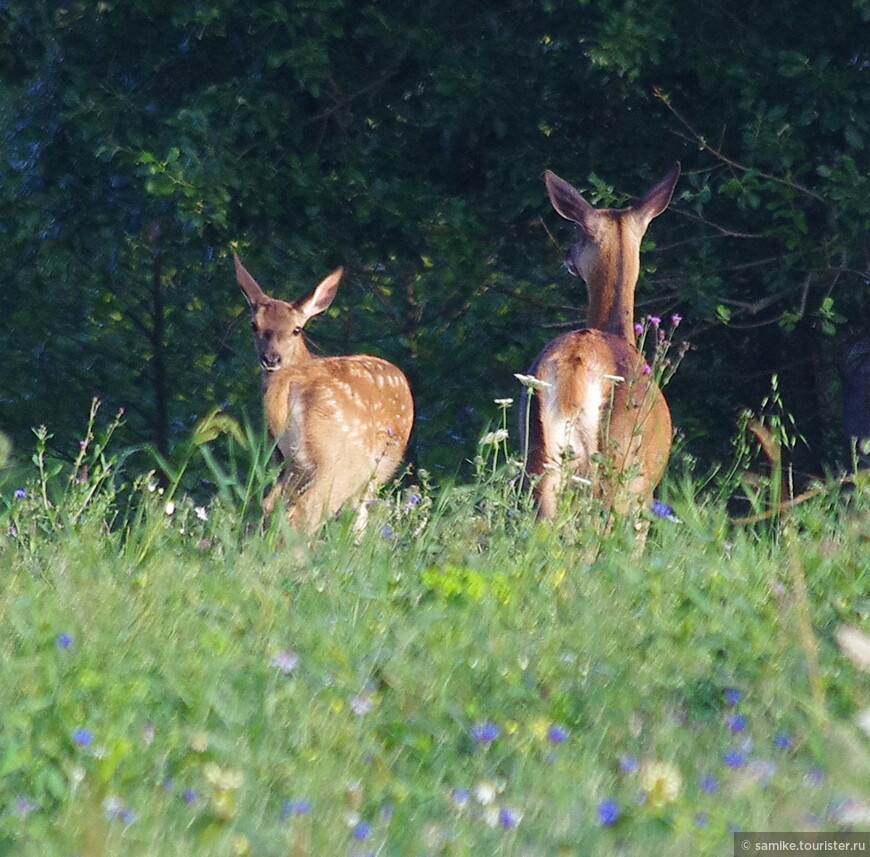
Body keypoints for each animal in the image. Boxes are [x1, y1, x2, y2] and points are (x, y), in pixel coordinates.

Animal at [235, 254, 416, 532]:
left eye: (296, 329)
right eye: (254, 325)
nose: (271, 359)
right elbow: (358, 519)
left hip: (289, 461)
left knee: (269, 506)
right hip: (343, 461)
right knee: (306, 514)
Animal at [516, 164, 680, 532]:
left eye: (576, 234)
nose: (566, 256)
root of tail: (574, 361)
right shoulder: (643, 493)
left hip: (538, 450)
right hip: (617, 463)